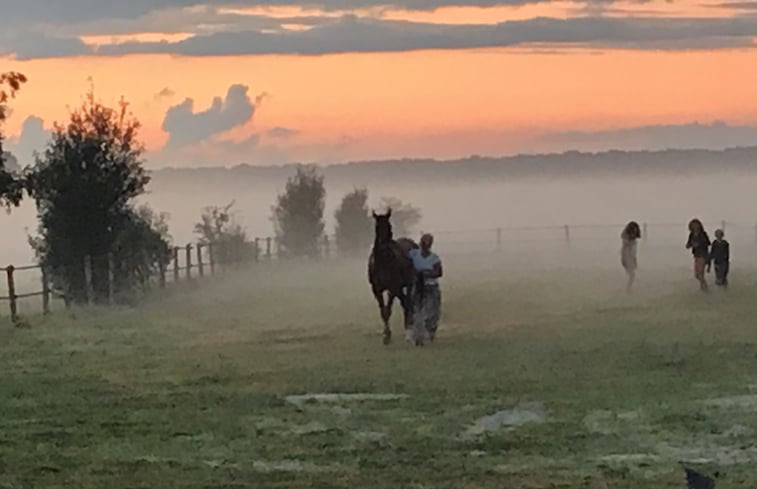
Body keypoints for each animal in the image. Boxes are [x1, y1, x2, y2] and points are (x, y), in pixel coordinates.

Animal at [368, 209, 416, 344]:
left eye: (389, 226)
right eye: (377, 227)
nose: (384, 247)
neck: (384, 261)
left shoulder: (393, 287)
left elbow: (388, 309)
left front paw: (388, 335)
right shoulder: (376, 290)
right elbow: (383, 311)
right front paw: (386, 335)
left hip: (409, 283)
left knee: (407, 302)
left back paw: (409, 329)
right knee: (405, 301)